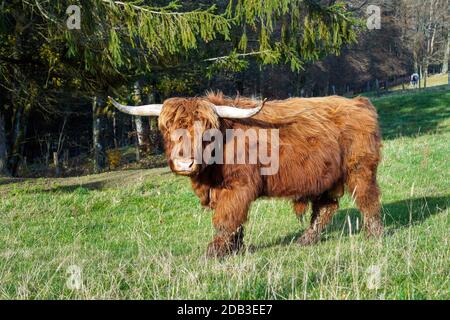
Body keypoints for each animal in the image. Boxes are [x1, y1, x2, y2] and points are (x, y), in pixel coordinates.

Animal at [110, 92, 384, 258]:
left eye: (205, 131)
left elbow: (226, 220)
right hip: (324, 178)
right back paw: (305, 241)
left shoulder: (238, 188)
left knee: (368, 200)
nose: (184, 163)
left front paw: (214, 253)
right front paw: (235, 249)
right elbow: (235, 222)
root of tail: (359, 102)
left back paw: (374, 235)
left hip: (360, 168)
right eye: (168, 129)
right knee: (325, 208)